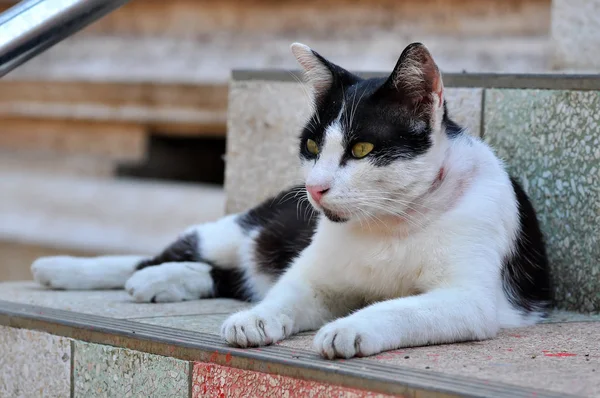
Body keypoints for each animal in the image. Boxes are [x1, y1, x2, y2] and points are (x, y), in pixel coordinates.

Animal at [30, 42, 552, 360]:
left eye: (361, 148)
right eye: (313, 146)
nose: (316, 187)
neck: (390, 224)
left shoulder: (471, 299)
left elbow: (403, 307)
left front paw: (349, 328)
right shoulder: (316, 275)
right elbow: (287, 292)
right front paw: (258, 320)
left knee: (227, 274)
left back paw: (163, 280)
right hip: (244, 227)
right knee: (169, 254)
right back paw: (67, 269)